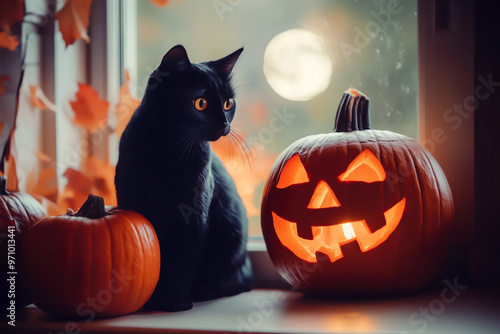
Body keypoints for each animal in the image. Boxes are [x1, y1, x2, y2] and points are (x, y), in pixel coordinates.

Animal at [115, 44, 252, 310]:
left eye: (228, 103)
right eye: (200, 103)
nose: (224, 124)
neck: (170, 152)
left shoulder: (195, 216)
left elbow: (185, 260)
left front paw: (176, 300)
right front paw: (154, 301)